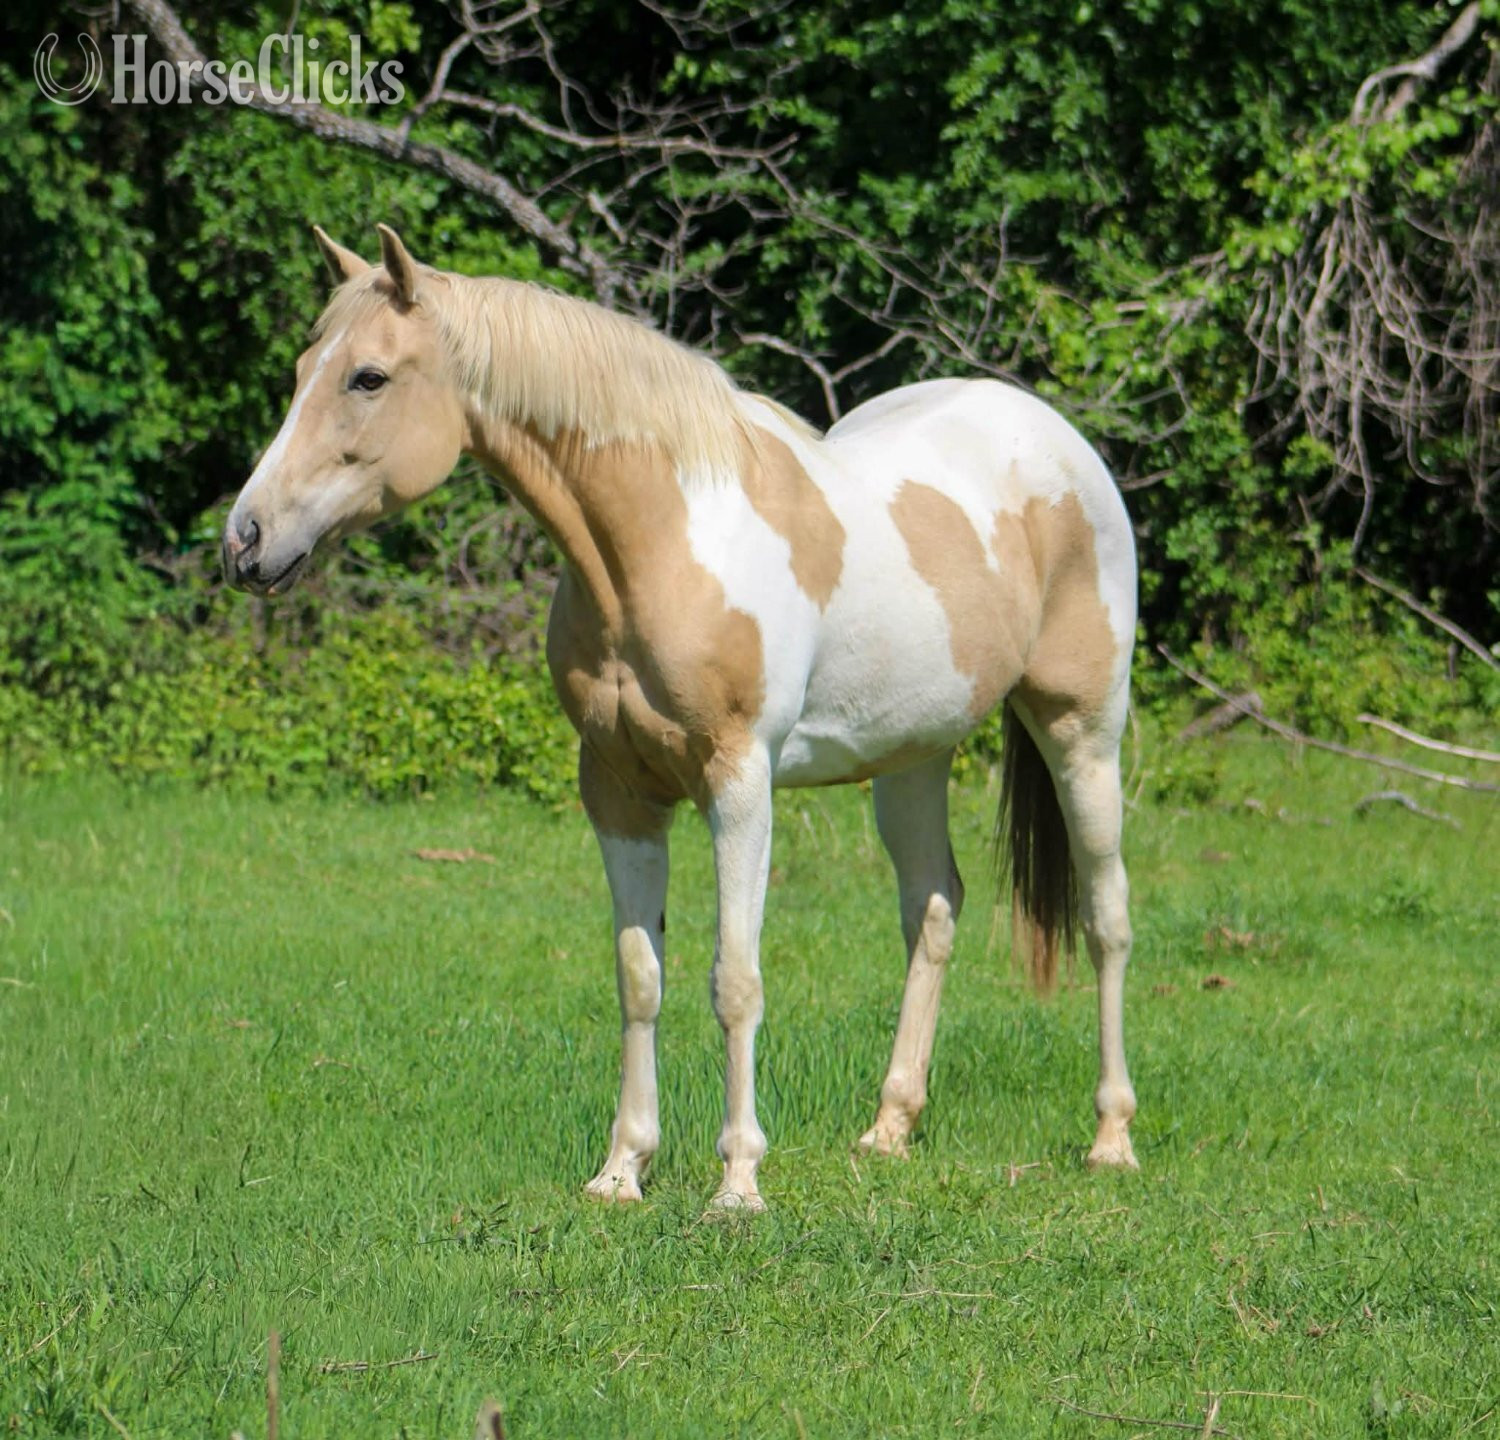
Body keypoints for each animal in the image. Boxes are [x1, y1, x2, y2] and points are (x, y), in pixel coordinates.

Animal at [224, 224, 1140, 1210]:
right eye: (303, 367)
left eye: (368, 378)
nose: (244, 540)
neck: (665, 542)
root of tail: (1058, 440)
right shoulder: (619, 790)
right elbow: (639, 977)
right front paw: (623, 1169)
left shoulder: (738, 784)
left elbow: (734, 979)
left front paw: (737, 1183)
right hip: (911, 757)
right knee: (932, 910)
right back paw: (889, 1130)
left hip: (1082, 732)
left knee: (1106, 917)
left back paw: (1111, 1139)